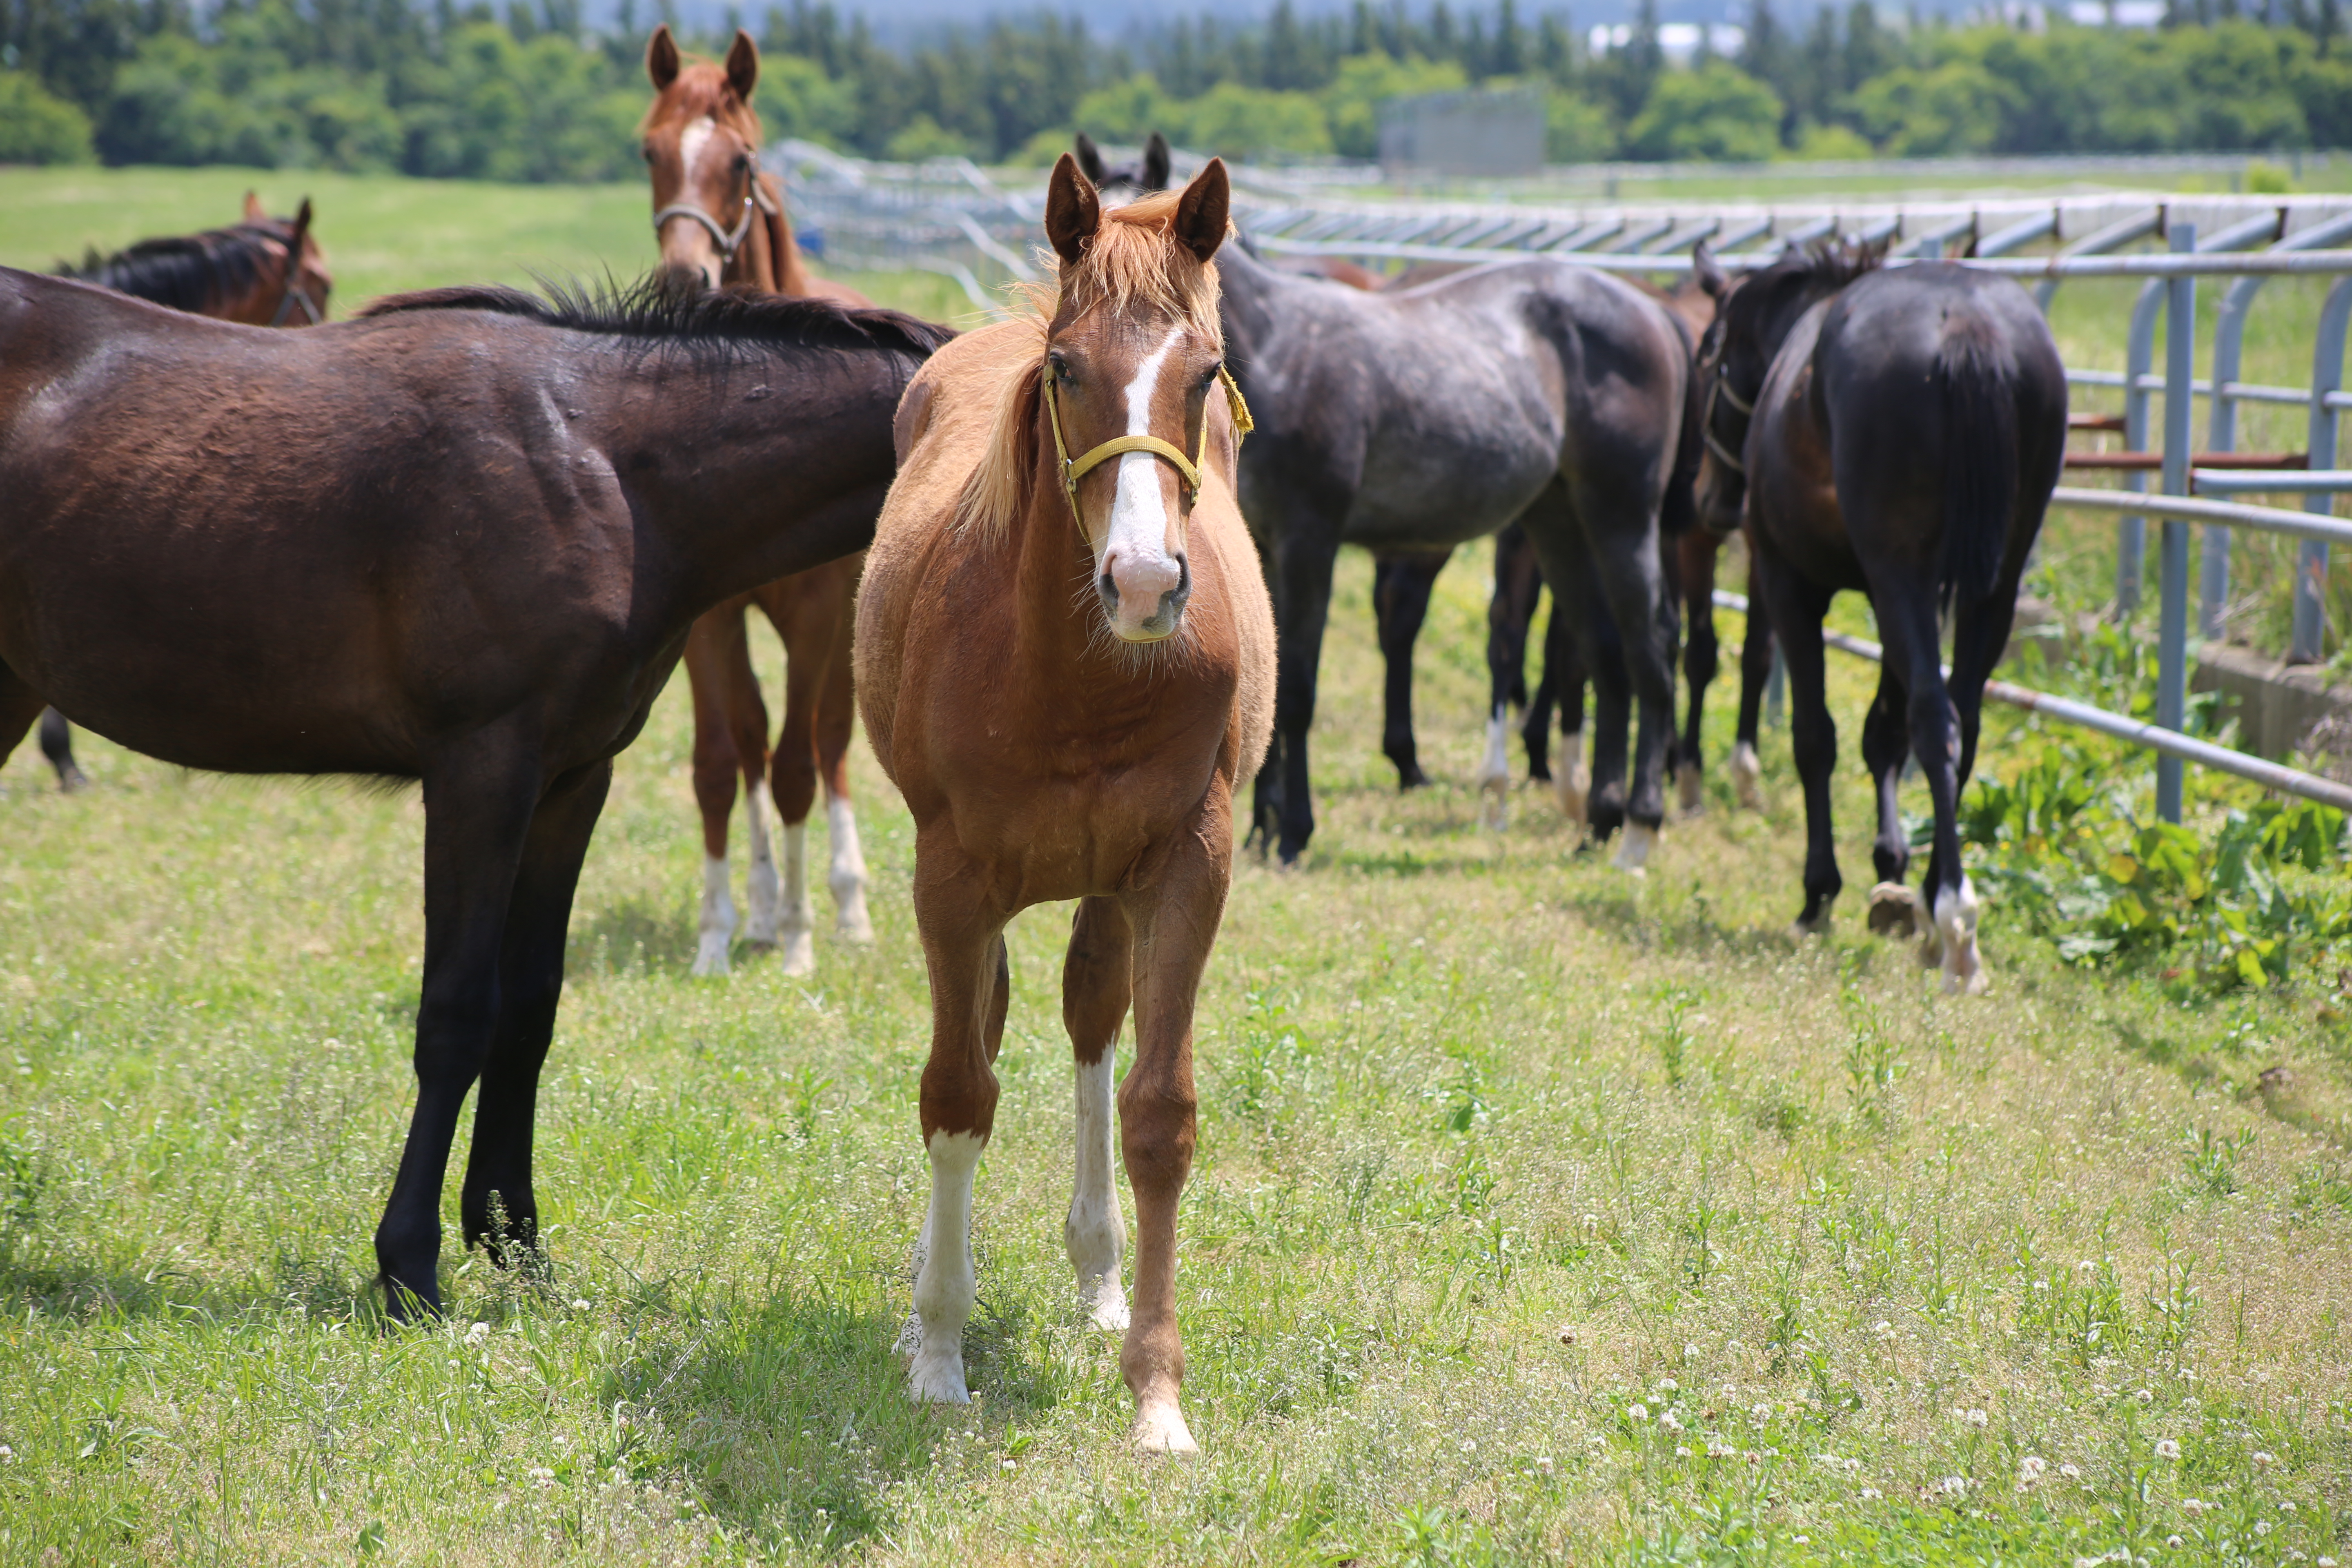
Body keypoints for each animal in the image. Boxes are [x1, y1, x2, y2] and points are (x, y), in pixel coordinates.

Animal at [7, 272, 955, 1316]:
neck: (612, 466)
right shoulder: (482, 768)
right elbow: (458, 1012)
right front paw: (409, 1265)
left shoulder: (571, 780)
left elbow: (530, 1008)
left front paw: (514, 1240)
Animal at [644, 24, 884, 973]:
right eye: (650, 151)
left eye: (741, 161)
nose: (685, 279)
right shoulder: (712, 616)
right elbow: (722, 762)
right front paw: (719, 935)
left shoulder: (820, 614)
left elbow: (798, 766)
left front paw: (800, 943)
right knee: (753, 744)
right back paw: (757, 908)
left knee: (829, 743)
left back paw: (844, 907)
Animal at [861, 160, 1279, 1457]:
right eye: (1065, 369)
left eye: (1204, 370)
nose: (1144, 583)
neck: (1080, 673)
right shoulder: (950, 877)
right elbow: (957, 1093)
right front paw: (939, 1348)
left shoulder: (1191, 865)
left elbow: (1158, 1112)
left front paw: (1157, 1392)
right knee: (982, 1039)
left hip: (1107, 883)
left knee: (1092, 1018)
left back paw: (1097, 1271)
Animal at [1223, 240, 1703, 865]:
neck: (1273, 347)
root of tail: (1656, 312)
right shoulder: (1264, 546)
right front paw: (1262, 829)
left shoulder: (1309, 542)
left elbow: (1298, 691)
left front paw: (1293, 834)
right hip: (1559, 521)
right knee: (1605, 654)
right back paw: (1599, 824)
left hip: (1622, 518)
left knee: (1651, 650)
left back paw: (1640, 830)